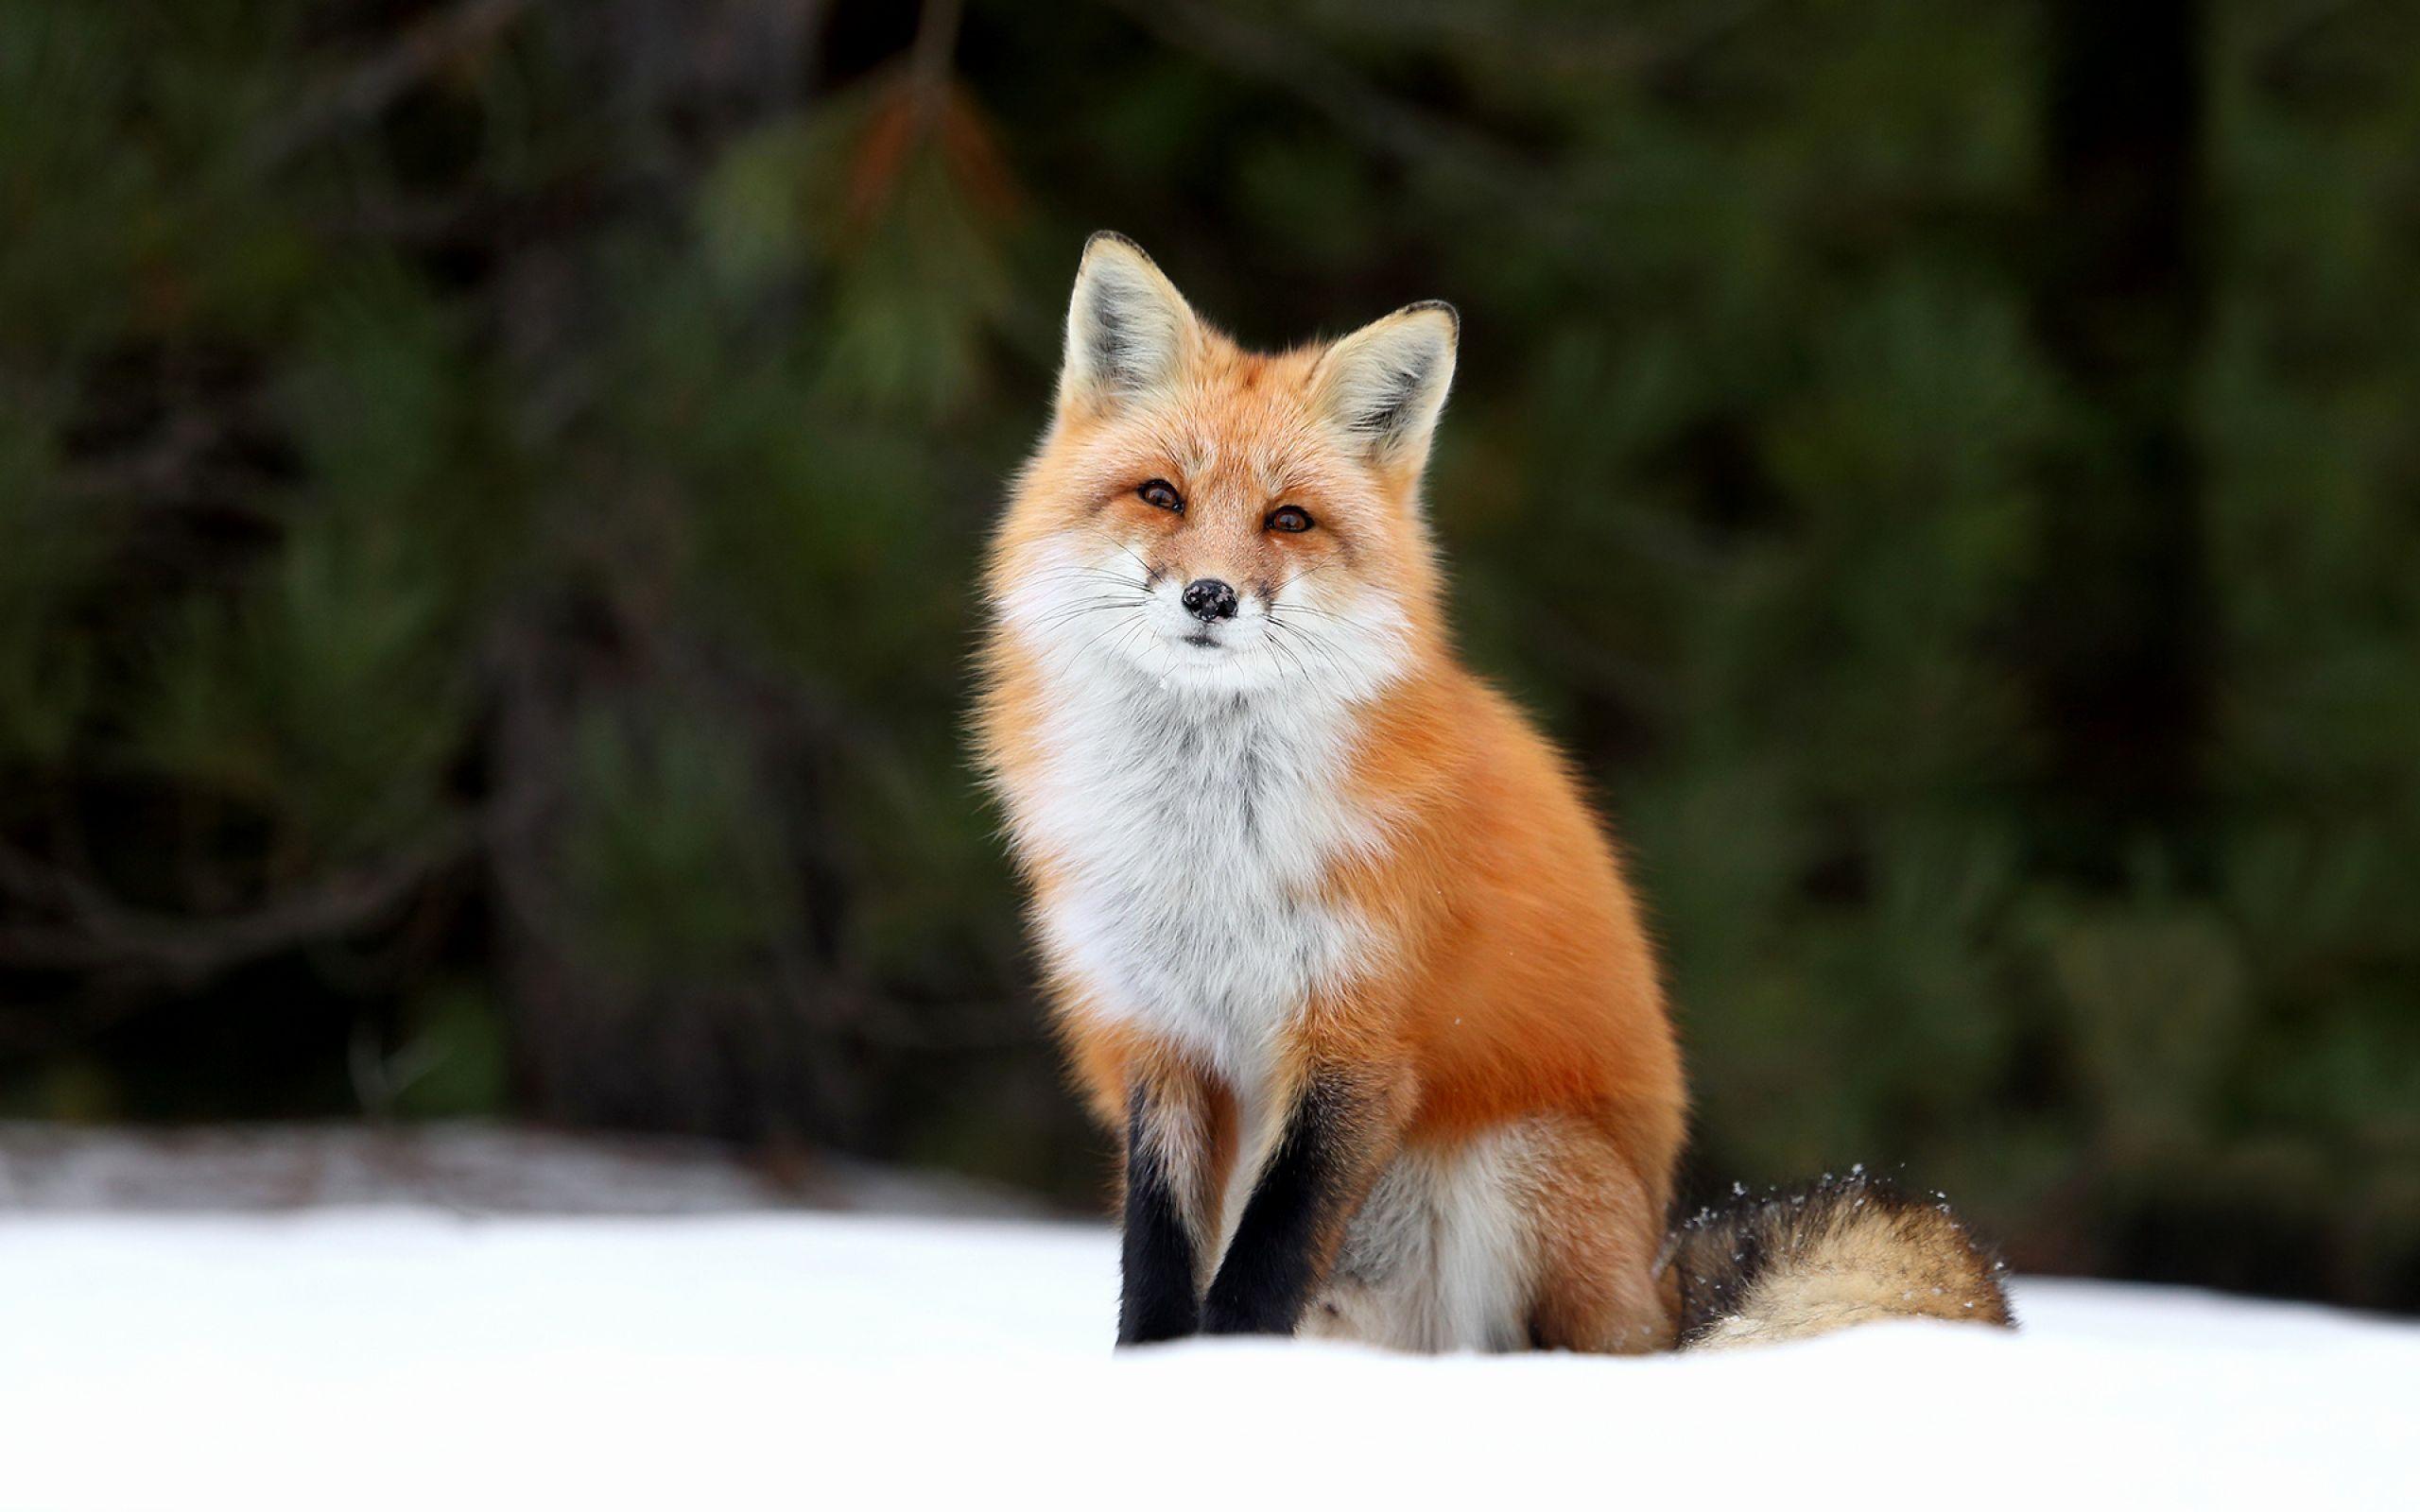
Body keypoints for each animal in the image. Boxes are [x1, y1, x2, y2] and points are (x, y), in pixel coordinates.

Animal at [975, 232, 2013, 1353]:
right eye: (1161, 494)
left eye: (1288, 519)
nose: (1210, 596)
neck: (1207, 851)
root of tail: (1659, 1279)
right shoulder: (1158, 1039)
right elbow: (1158, 1262)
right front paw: (1157, 1373)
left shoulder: (1356, 1040)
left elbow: (1265, 1261)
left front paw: (1236, 1366)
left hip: (1516, 1166)